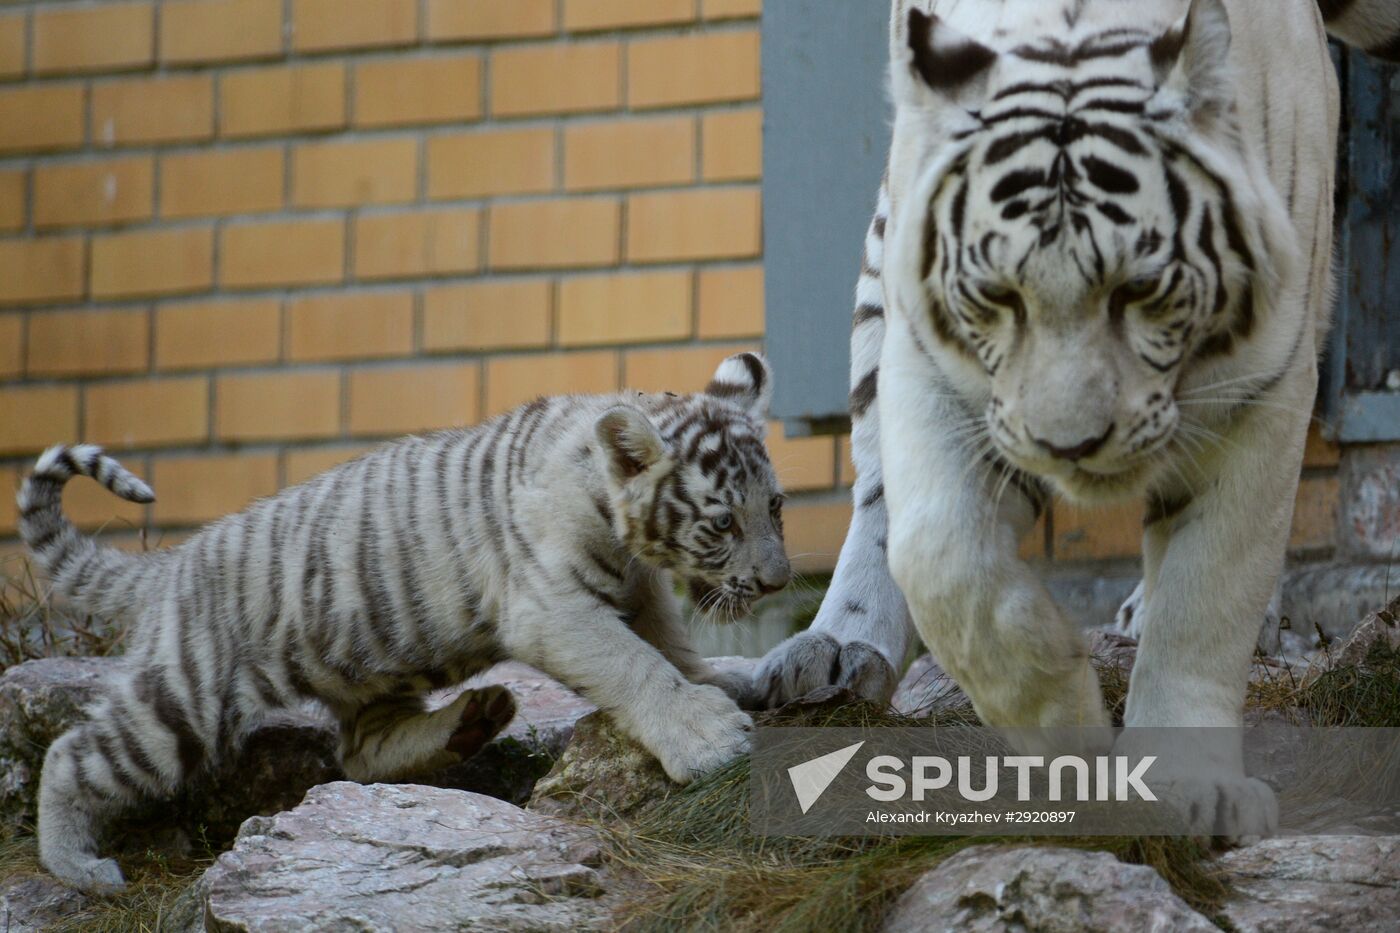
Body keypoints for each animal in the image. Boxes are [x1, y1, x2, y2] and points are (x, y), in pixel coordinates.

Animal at [767, 0, 1400, 829]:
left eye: (1141, 288)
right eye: (997, 294)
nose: (1070, 444)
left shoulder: (1263, 389)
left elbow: (1204, 598)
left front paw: (1191, 788)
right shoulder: (930, 357)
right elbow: (944, 558)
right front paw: (1063, 721)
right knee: (879, 499)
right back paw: (836, 652)